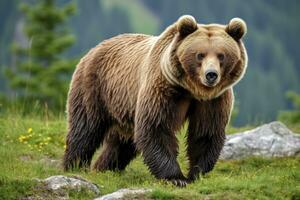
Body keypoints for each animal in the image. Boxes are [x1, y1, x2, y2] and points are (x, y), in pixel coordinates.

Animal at [62, 14, 247, 187]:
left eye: (221, 55)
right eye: (199, 55)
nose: (211, 75)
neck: (191, 90)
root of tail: (94, 49)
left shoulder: (213, 100)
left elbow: (206, 132)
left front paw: (196, 173)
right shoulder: (163, 89)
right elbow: (157, 127)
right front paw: (175, 178)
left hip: (123, 107)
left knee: (121, 144)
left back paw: (105, 168)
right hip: (94, 86)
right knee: (85, 129)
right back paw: (75, 166)